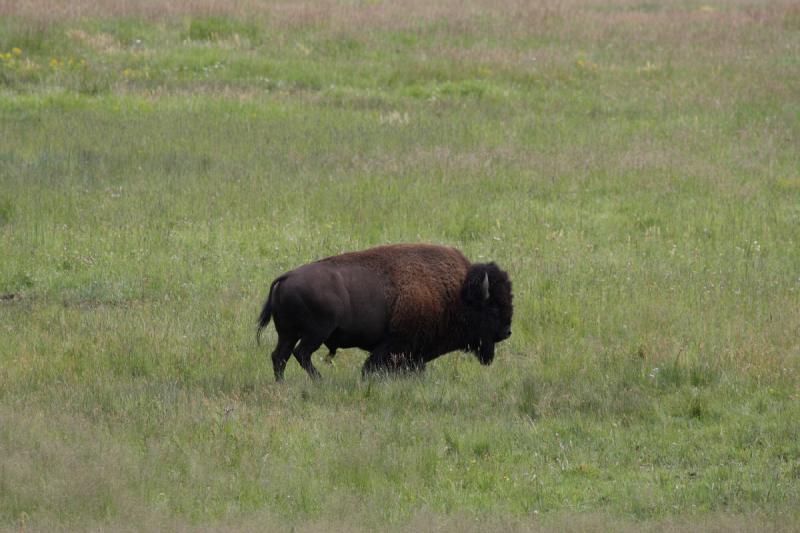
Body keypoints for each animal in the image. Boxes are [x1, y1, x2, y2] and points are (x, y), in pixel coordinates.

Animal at [260, 243, 516, 380]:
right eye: (494, 308)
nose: (507, 332)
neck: (457, 293)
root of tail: (286, 277)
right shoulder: (395, 345)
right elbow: (372, 366)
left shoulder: (413, 353)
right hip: (315, 333)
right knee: (301, 354)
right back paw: (320, 381)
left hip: (288, 334)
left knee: (279, 356)